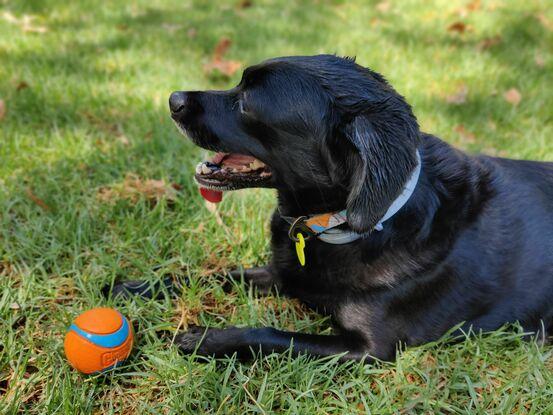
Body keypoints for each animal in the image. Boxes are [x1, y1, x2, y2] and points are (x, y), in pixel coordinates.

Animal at [122, 54, 552, 360]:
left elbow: (269, 335)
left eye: (247, 102)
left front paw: (203, 339)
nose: (173, 99)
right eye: (238, 82)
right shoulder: (281, 273)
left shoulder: (368, 350)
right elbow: (211, 274)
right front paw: (133, 286)